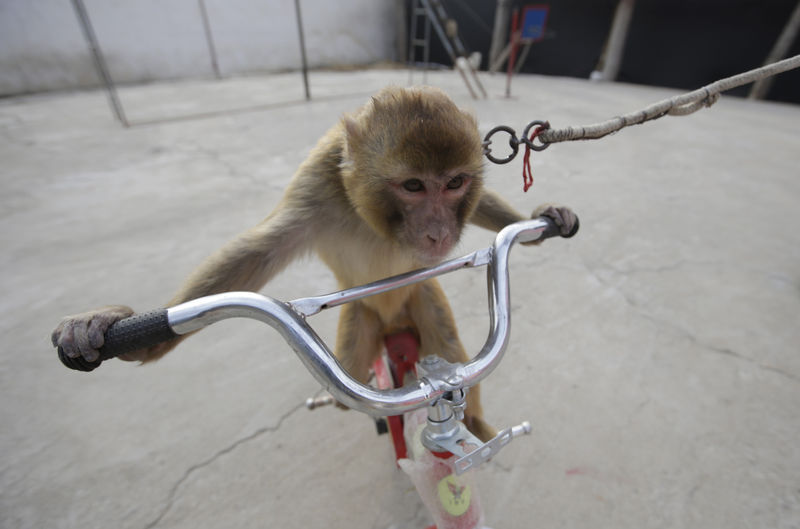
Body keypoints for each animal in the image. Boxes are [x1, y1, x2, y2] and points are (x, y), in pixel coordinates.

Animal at [51, 85, 576, 442]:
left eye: (454, 183)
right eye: (413, 186)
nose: (439, 233)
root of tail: (392, 326)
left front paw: (539, 221)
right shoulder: (317, 184)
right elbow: (257, 250)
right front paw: (113, 326)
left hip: (423, 295)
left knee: (449, 348)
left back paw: (477, 422)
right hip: (361, 321)